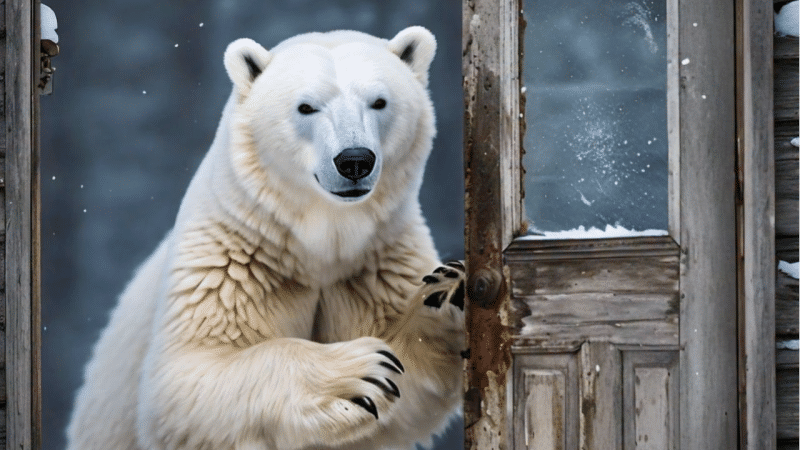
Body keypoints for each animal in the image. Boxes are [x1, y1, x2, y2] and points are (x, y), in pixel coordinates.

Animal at [65, 26, 466, 448]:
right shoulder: (232, 262)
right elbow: (185, 382)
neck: (320, 243)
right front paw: (356, 372)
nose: (355, 160)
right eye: (306, 107)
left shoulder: (377, 263)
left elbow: (414, 386)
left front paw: (447, 289)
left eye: (379, 101)